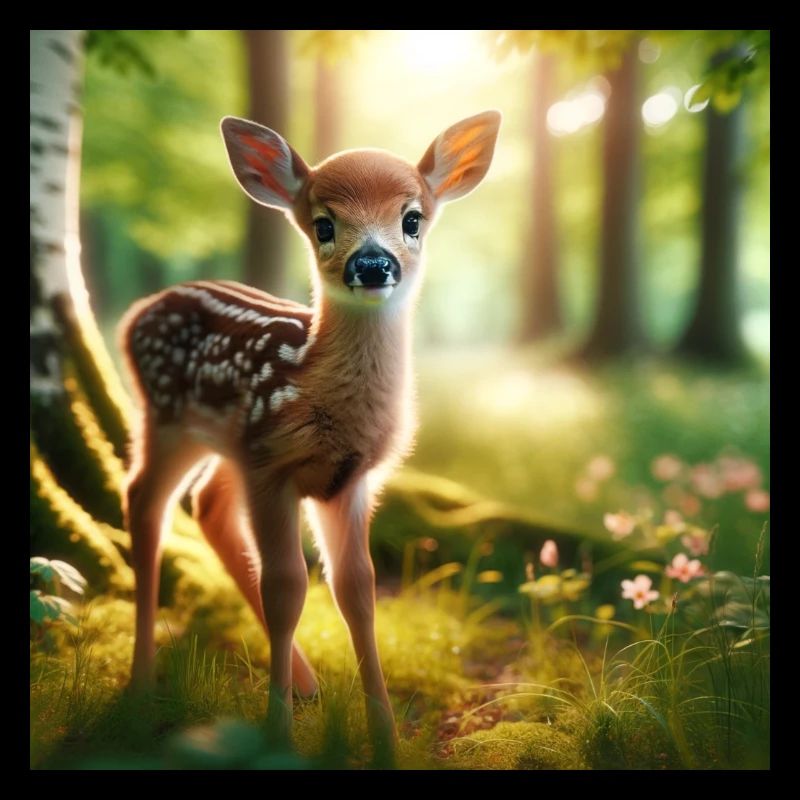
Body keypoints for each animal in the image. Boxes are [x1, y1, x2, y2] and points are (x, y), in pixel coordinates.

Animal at [119, 110, 501, 753]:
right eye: (324, 224)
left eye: (412, 218)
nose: (372, 264)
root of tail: (132, 316)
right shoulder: (271, 467)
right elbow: (287, 590)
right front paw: (277, 736)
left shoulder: (347, 479)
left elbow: (357, 591)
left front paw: (384, 739)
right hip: (168, 417)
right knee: (145, 500)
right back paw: (143, 680)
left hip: (225, 443)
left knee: (206, 503)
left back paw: (305, 683)